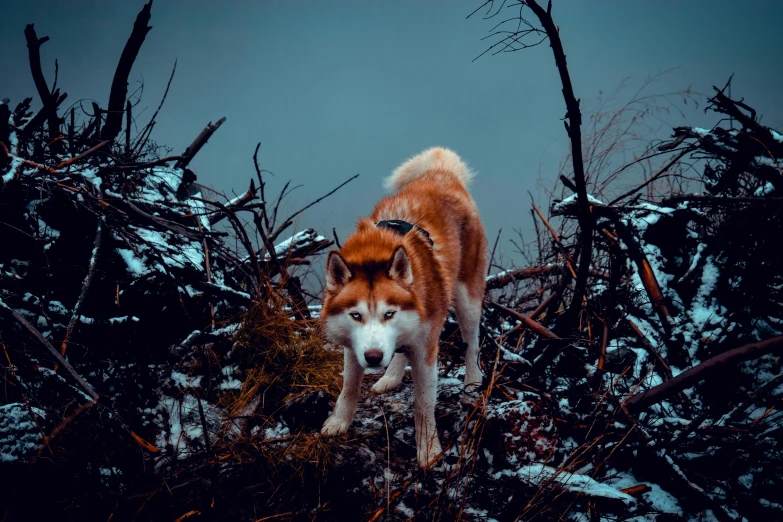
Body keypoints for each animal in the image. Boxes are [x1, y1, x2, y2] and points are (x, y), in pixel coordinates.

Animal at [322, 146, 486, 468]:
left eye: (389, 313)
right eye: (356, 315)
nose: (374, 357)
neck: (376, 252)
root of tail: (442, 173)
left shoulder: (426, 350)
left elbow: (423, 405)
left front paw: (429, 450)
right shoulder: (354, 345)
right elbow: (349, 387)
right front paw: (338, 421)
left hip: (467, 300)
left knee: (472, 341)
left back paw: (473, 380)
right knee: (401, 349)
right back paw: (391, 376)